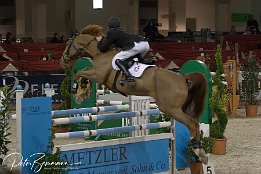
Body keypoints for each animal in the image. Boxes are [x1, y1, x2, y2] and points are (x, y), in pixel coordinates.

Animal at [60, 24, 207, 163]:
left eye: (67, 44)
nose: (63, 60)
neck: (99, 53)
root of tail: (182, 78)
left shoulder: (99, 76)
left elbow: (81, 72)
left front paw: (76, 87)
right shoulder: (96, 74)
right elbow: (83, 70)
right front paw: (82, 86)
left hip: (170, 108)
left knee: (192, 123)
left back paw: (198, 151)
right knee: (194, 122)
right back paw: (200, 150)